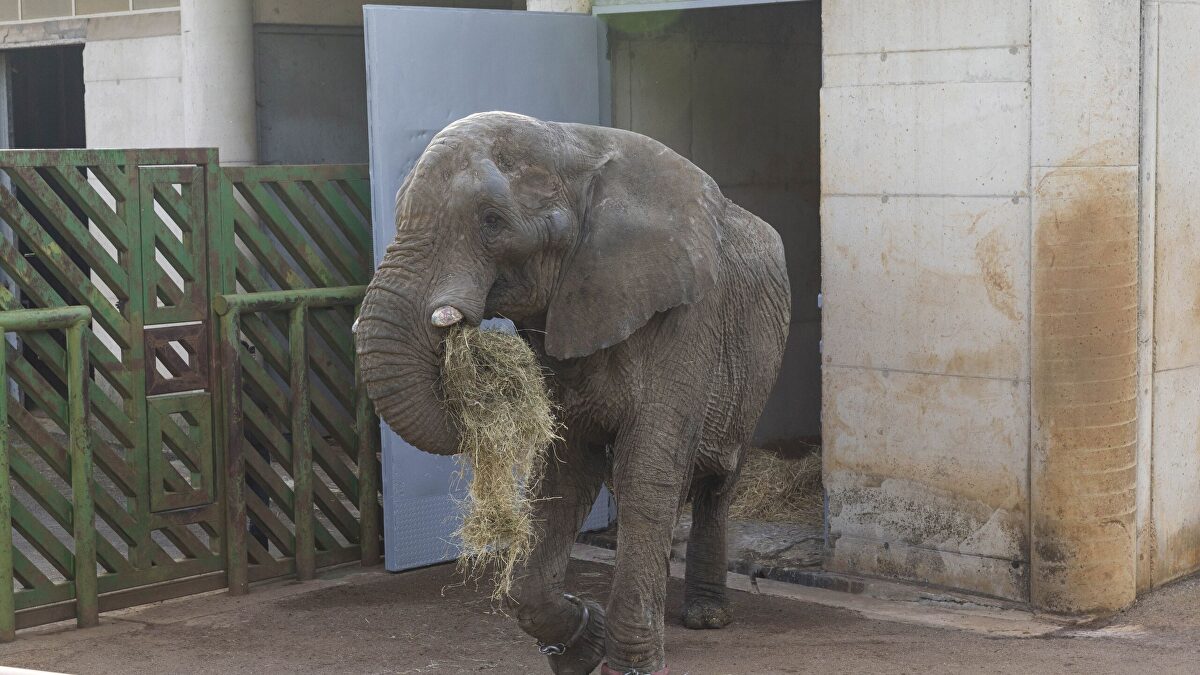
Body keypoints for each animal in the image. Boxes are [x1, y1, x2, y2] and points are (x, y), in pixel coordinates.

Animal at [356, 111, 790, 675]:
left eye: (492, 221)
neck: (572, 146)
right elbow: (566, 468)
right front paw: (586, 645)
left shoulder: (690, 317)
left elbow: (645, 471)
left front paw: (630, 666)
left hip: (757, 369)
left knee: (717, 481)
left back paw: (706, 617)